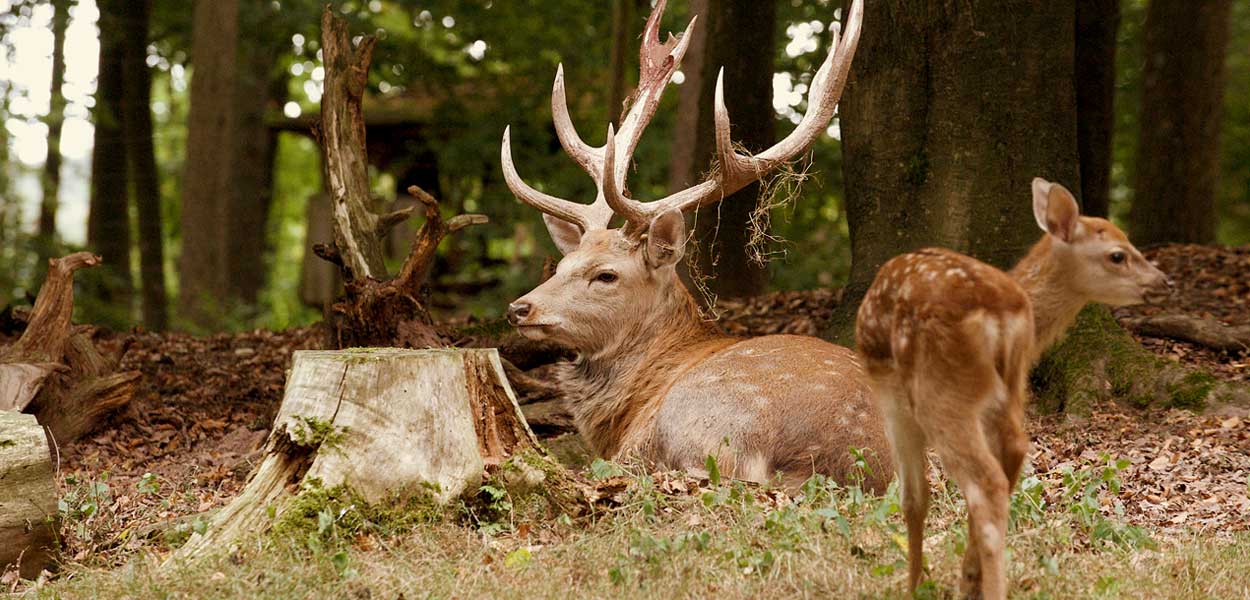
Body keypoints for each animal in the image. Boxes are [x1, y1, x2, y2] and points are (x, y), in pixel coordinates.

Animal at [854, 178, 1172, 599]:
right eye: (1118, 255)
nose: (1164, 282)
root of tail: (998, 314)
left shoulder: (891, 396)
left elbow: (913, 498)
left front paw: (917, 586)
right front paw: (963, 579)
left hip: (940, 390)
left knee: (984, 485)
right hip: (1005, 387)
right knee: (1011, 459)